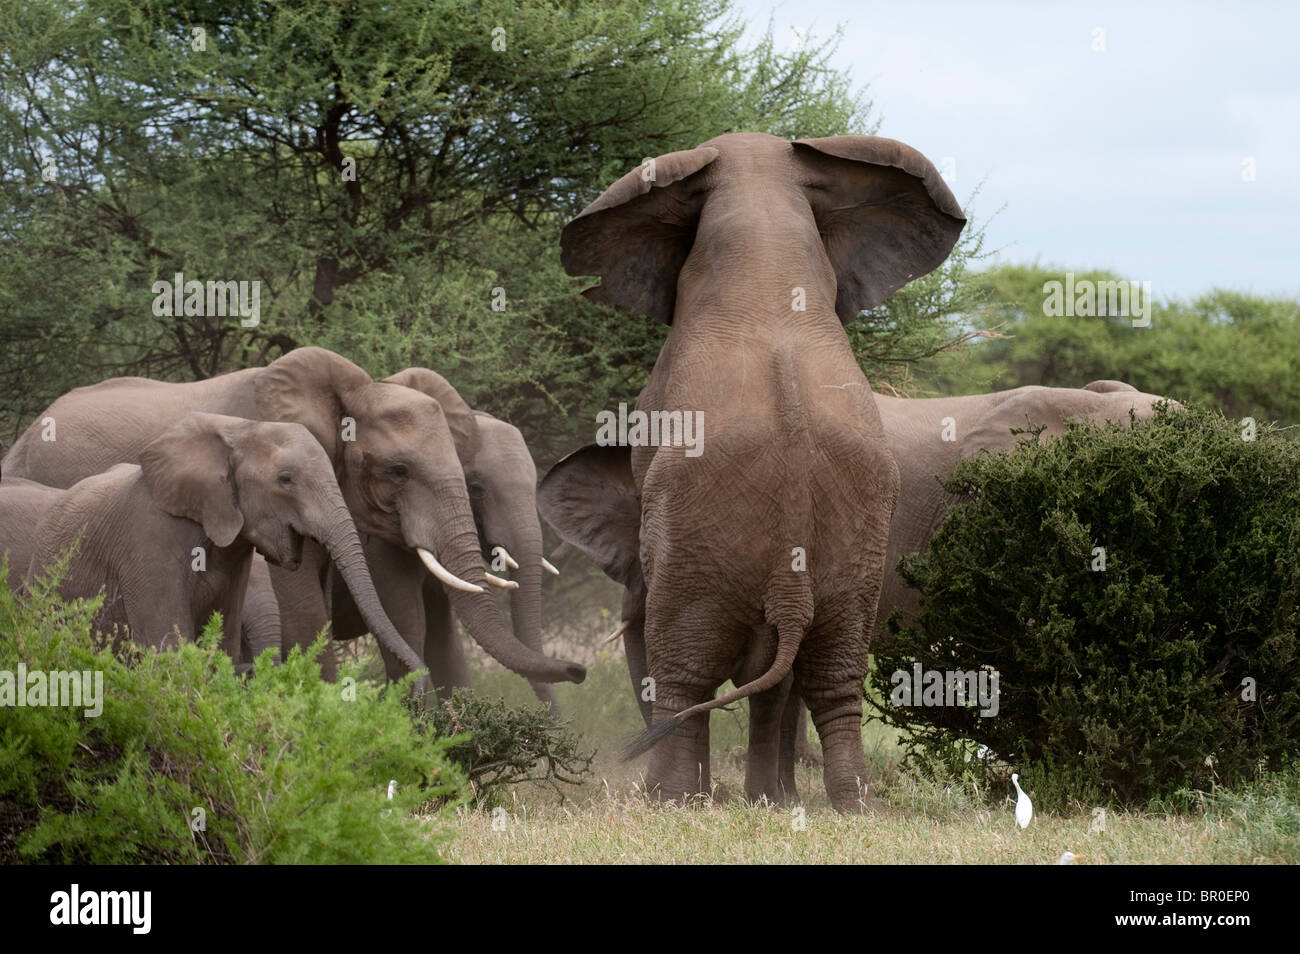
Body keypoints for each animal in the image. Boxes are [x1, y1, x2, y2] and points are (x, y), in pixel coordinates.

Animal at [5, 415, 416, 675]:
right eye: (285, 480)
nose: (420, 676)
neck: (237, 429)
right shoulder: (149, 540)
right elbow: (166, 644)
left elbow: (222, 644)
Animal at [548, 128, 967, 816]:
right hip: (855, 555)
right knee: (832, 674)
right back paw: (853, 807)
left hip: (696, 548)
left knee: (683, 667)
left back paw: (669, 801)